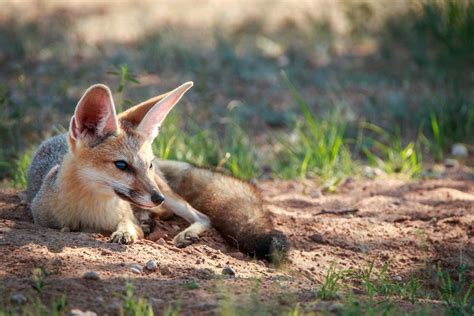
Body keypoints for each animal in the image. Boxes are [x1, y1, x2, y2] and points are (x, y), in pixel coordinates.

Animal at [27, 81, 290, 262]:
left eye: (148, 165)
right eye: (122, 165)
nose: (157, 197)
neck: (92, 211)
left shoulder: (128, 213)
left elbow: (129, 226)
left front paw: (125, 233)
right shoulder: (43, 219)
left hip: (172, 198)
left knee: (202, 216)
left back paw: (182, 232)